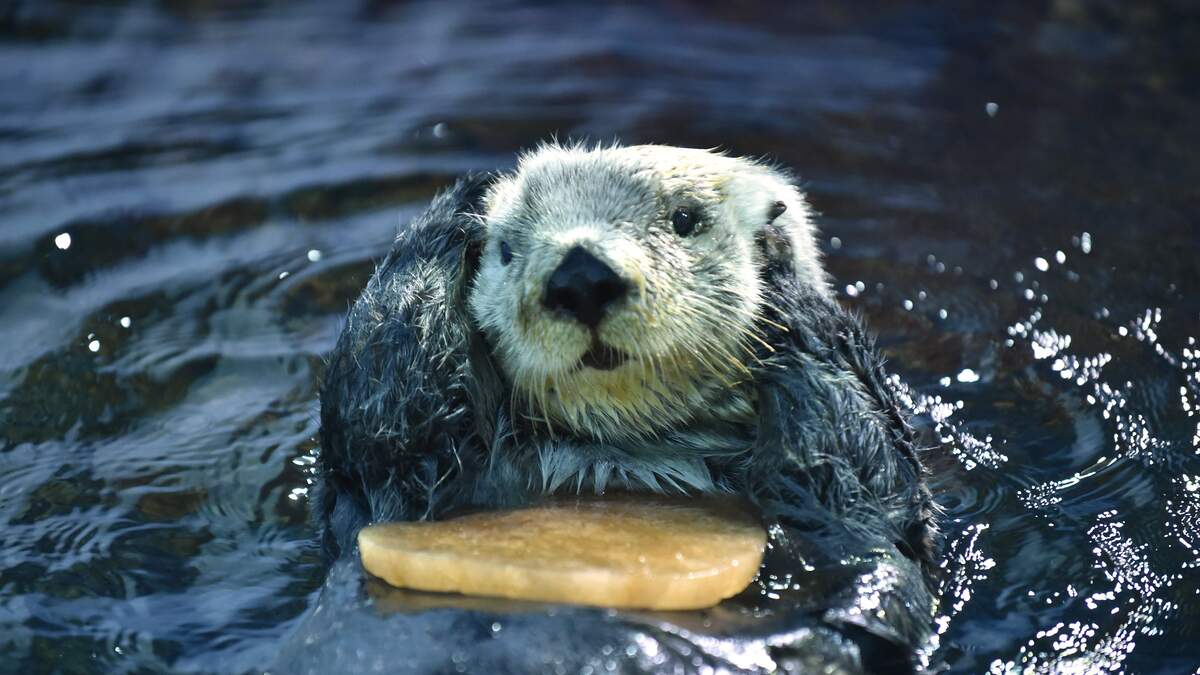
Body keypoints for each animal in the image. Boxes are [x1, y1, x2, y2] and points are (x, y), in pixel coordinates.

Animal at [312, 143, 939, 674]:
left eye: (685, 219)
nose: (580, 276)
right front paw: (459, 206)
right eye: (507, 250)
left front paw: (783, 274)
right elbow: (382, 408)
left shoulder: (856, 524)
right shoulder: (394, 487)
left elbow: (865, 503)